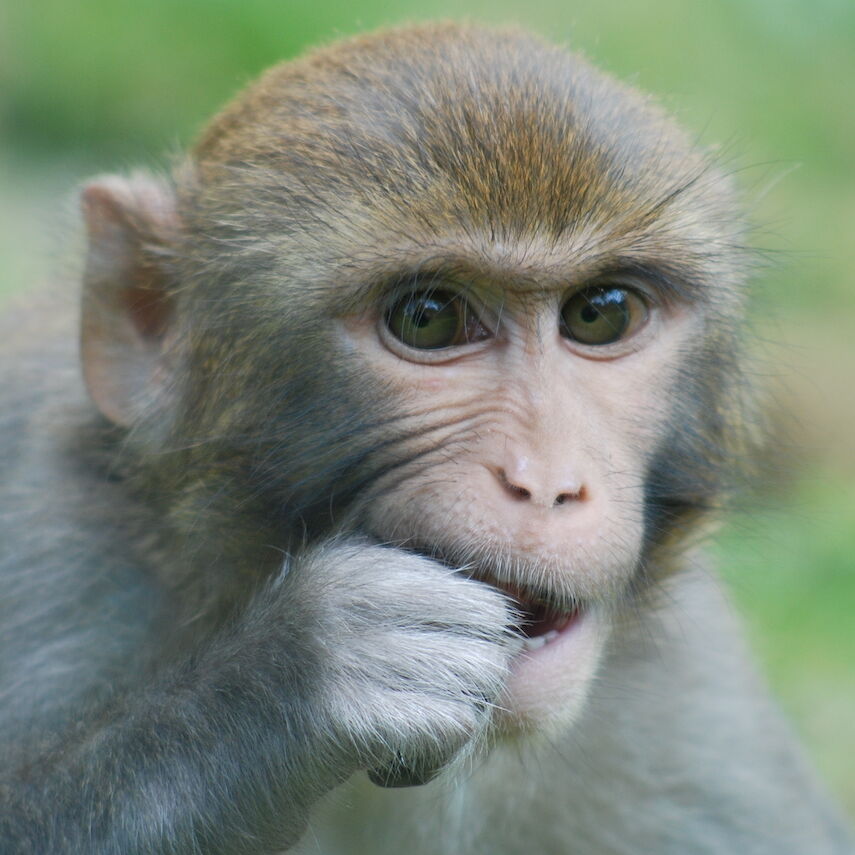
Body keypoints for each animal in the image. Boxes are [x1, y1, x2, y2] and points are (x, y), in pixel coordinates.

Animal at [1, 20, 855, 855]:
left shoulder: (696, 704)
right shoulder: (54, 550)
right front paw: (291, 679)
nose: (545, 482)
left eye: (600, 312)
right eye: (428, 318)